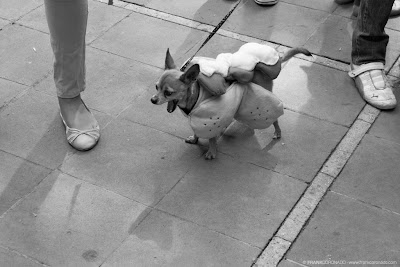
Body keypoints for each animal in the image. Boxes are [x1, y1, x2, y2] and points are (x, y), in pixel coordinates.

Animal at [152, 45, 310, 160]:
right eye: (156, 87)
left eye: (168, 92)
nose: (152, 100)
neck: (194, 94)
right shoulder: (196, 116)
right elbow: (196, 130)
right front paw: (195, 139)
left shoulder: (211, 116)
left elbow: (211, 137)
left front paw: (212, 151)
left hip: (263, 94)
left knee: (274, 117)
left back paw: (277, 131)